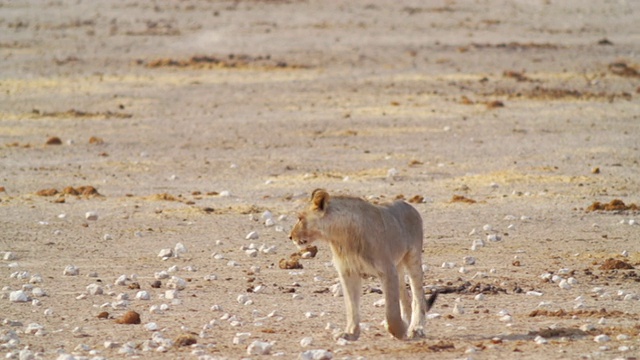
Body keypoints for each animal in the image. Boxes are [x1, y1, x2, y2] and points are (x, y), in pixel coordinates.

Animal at [288, 188, 436, 340]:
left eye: (300, 218)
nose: (290, 236)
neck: (340, 237)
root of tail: (410, 206)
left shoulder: (387, 270)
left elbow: (391, 311)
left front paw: (399, 331)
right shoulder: (348, 272)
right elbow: (351, 305)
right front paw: (350, 333)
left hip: (413, 258)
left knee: (418, 296)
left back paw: (416, 328)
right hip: (398, 266)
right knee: (405, 296)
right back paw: (407, 322)